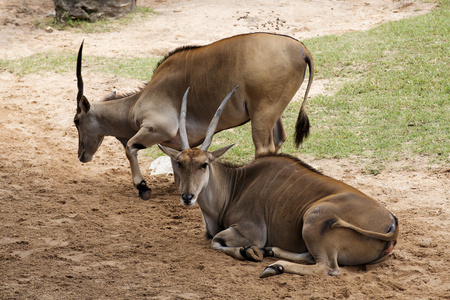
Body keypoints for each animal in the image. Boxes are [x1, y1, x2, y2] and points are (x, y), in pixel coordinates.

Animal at [73, 32, 312, 199]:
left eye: (76, 121)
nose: (81, 155)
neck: (135, 103)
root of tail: (302, 50)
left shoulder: (157, 128)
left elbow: (130, 147)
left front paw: (143, 187)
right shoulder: (177, 142)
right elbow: (175, 161)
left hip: (262, 115)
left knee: (264, 149)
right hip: (271, 114)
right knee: (278, 141)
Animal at [158, 89, 398, 278]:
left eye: (204, 164)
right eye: (179, 163)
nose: (187, 197)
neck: (236, 184)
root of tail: (391, 223)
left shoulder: (252, 232)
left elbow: (216, 240)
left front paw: (248, 252)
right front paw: (255, 251)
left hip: (313, 218)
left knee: (327, 267)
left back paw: (275, 266)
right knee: (310, 257)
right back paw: (272, 253)